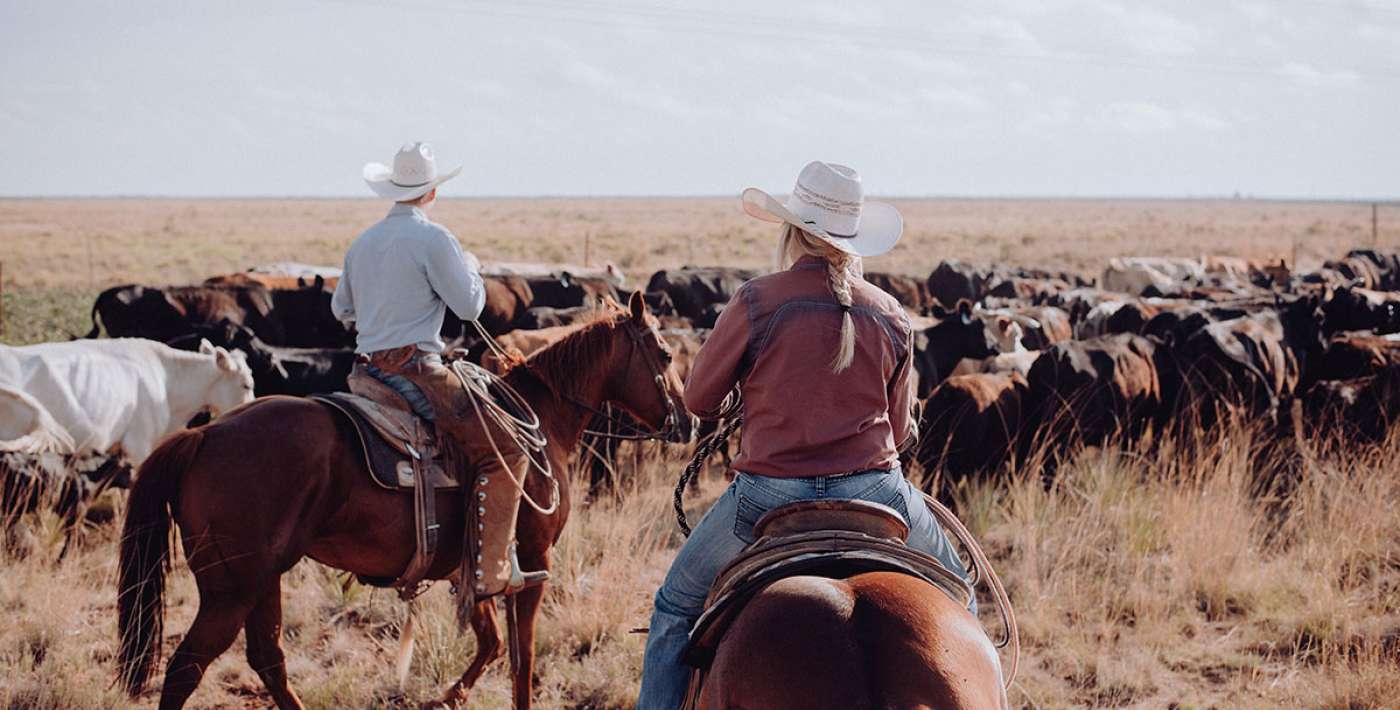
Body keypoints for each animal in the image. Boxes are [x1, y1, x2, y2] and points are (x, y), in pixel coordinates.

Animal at [119, 291, 688, 708]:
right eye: (664, 354)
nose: (687, 419)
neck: (540, 420)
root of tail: (205, 435)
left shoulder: (471, 565)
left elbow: (490, 642)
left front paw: (447, 698)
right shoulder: (531, 559)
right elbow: (522, 659)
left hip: (262, 578)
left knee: (267, 658)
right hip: (230, 589)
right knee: (187, 667)